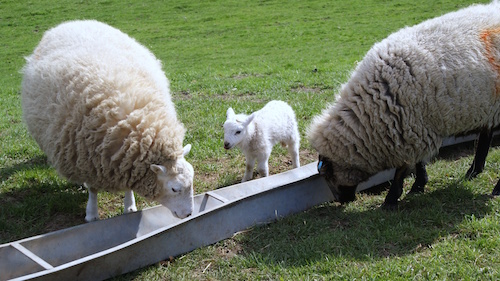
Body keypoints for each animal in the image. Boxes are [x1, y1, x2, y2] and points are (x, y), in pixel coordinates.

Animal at [21, 19, 194, 221]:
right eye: (174, 189)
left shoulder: (124, 160)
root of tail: (74, 21)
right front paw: (91, 213)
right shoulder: (87, 158)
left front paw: (130, 206)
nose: (189, 213)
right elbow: (93, 189)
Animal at [306, 1, 500, 208]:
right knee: (486, 135)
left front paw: (391, 199)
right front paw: (418, 185)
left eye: (328, 175)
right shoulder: (416, 127)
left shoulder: (408, 127)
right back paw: (474, 171)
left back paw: (496, 188)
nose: (341, 201)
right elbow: (419, 162)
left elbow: (402, 168)